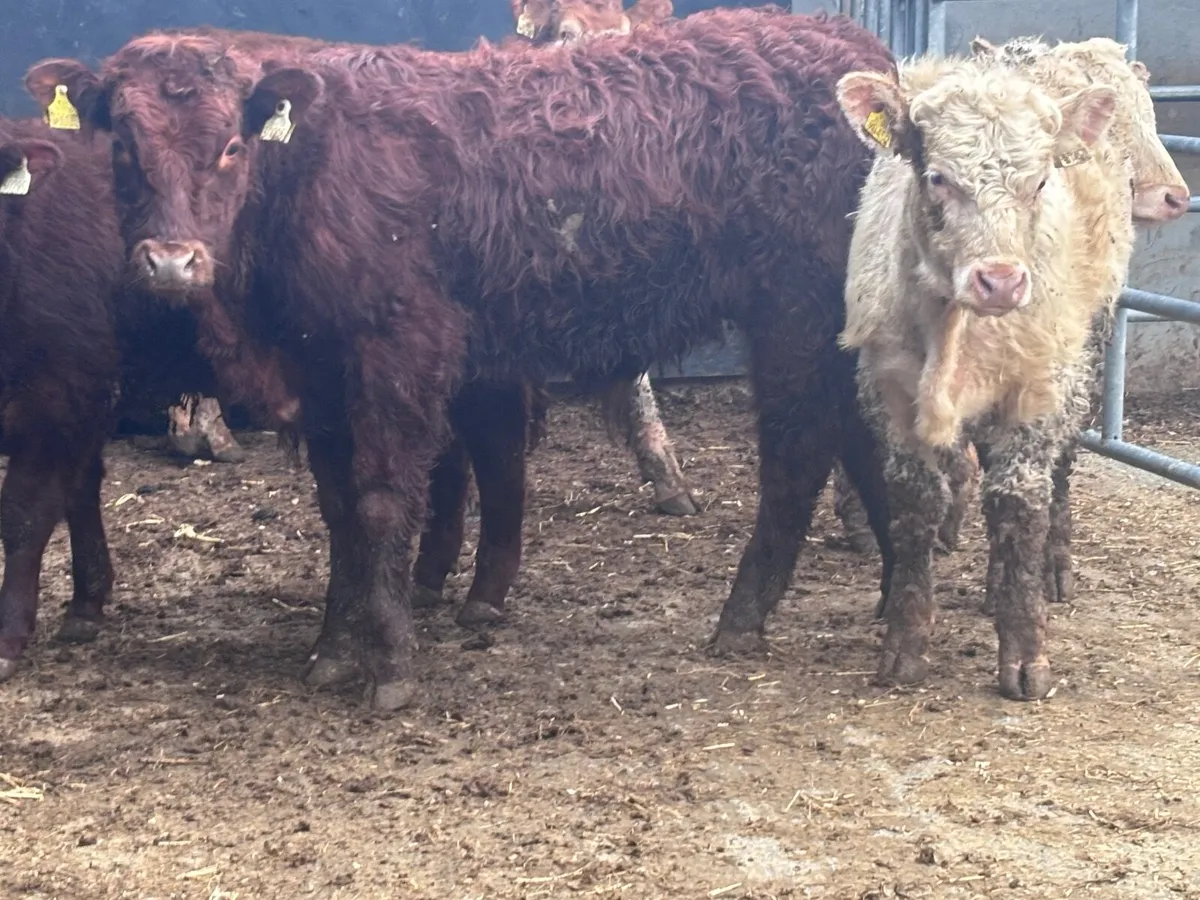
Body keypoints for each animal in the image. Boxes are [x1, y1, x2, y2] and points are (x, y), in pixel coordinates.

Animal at [28, 7, 897, 709]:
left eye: (232, 146)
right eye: (124, 146)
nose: (171, 262)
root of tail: (849, 43)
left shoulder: (401, 343)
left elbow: (383, 501)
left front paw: (389, 665)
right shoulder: (321, 371)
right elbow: (340, 508)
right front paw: (333, 648)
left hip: (792, 308)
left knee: (798, 448)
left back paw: (744, 616)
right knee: (859, 437)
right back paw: (892, 599)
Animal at [836, 51, 1141, 700]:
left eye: (1041, 182)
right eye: (938, 178)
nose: (1000, 281)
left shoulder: (1037, 386)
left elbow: (1018, 503)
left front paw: (1025, 653)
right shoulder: (888, 384)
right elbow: (916, 500)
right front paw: (905, 643)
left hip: (1086, 352)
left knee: (1058, 471)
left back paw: (1048, 571)